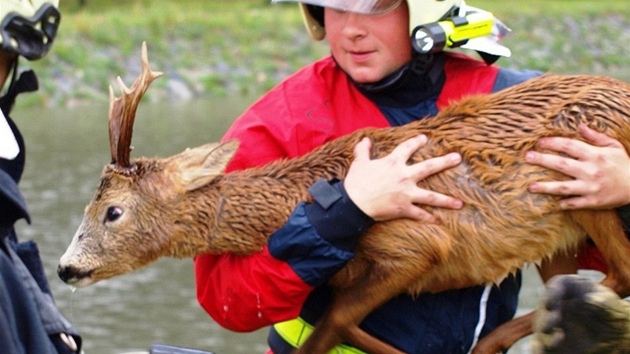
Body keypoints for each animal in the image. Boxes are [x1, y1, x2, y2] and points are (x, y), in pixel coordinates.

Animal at [56, 42, 630, 352]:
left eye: (112, 211)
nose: (64, 268)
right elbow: (338, 318)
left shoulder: (418, 244)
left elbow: (332, 321)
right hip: (556, 235)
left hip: (584, 181)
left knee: (619, 274)